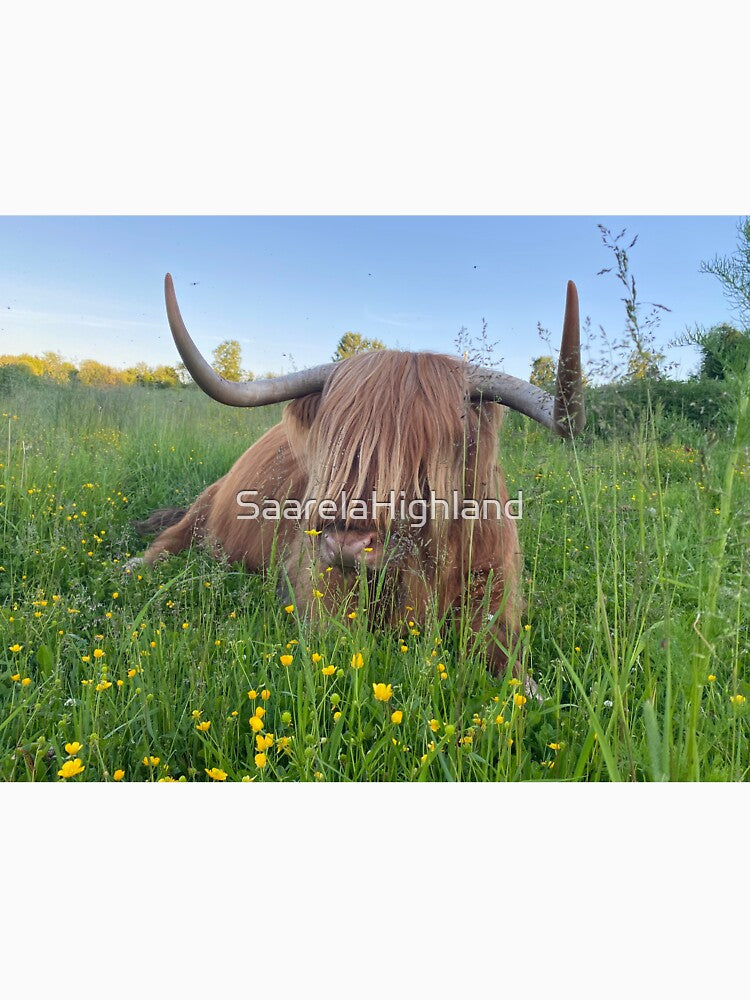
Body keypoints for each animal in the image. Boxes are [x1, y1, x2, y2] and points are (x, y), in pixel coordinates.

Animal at [128, 274, 584, 675]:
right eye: (336, 444)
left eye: (433, 452)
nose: (347, 544)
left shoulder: (494, 601)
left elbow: (516, 677)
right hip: (204, 506)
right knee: (167, 542)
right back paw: (132, 568)